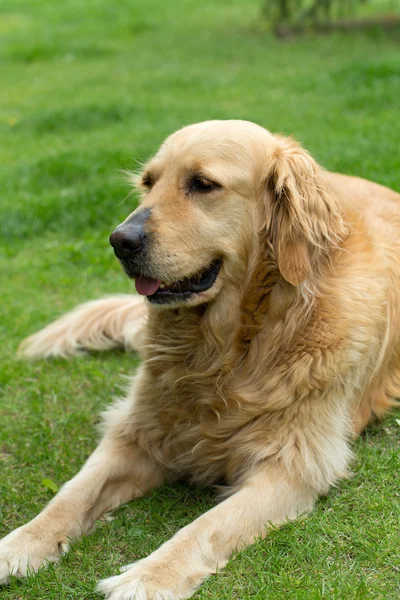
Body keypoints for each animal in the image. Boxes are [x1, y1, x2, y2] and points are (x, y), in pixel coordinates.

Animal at [0, 119, 400, 596]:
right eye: (148, 183)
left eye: (203, 184)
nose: (119, 241)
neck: (231, 347)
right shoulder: (136, 430)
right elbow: (72, 492)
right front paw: (19, 544)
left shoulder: (293, 466)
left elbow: (206, 527)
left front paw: (149, 576)